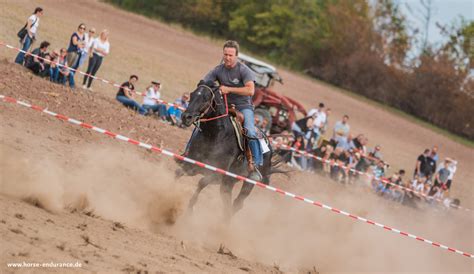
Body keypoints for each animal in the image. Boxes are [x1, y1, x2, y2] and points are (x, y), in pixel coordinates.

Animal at [178, 80, 274, 217]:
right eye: (192, 94)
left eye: (206, 98)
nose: (186, 117)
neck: (214, 135)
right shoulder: (192, 164)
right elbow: (178, 173)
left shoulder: (216, 174)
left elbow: (201, 182)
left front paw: (190, 208)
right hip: (228, 182)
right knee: (227, 204)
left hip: (248, 183)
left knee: (237, 203)